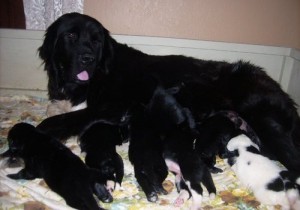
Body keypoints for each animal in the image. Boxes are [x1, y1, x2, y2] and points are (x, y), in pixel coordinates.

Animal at [37, 13, 300, 175]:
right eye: (71, 36)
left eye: (96, 40)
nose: (88, 58)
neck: (102, 71)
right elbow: (59, 107)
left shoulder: (115, 105)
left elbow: (68, 117)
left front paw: (45, 129)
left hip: (266, 121)